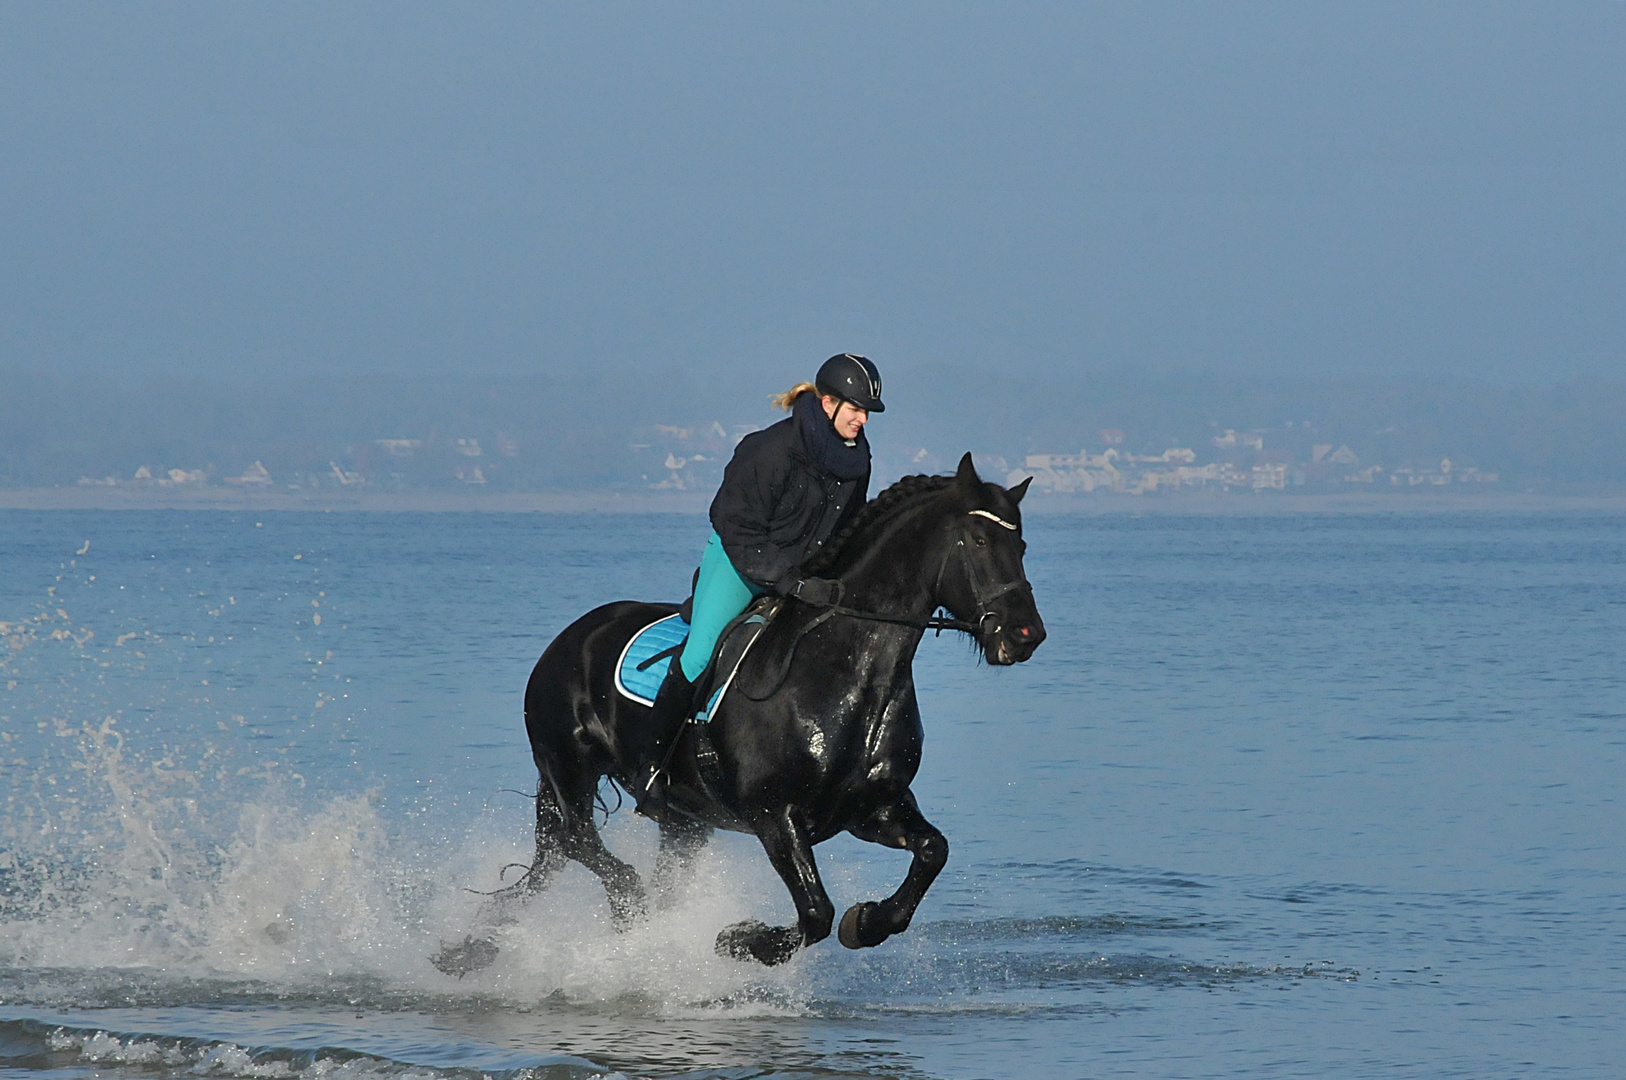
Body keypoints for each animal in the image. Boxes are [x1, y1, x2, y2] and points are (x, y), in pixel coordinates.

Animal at [458, 452, 1047, 969]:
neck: (849, 671)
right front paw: (738, 940)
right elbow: (816, 912)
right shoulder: (775, 815)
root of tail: (568, 640)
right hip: (570, 770)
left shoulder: (871, 808)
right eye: (978, 540)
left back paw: (471, 948)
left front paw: (868, 922)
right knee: (583, 845)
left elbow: (932, 852)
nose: (1025, 636)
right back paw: (625, 912)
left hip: (681, 821)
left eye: (1020, 543)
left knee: (559, 863)